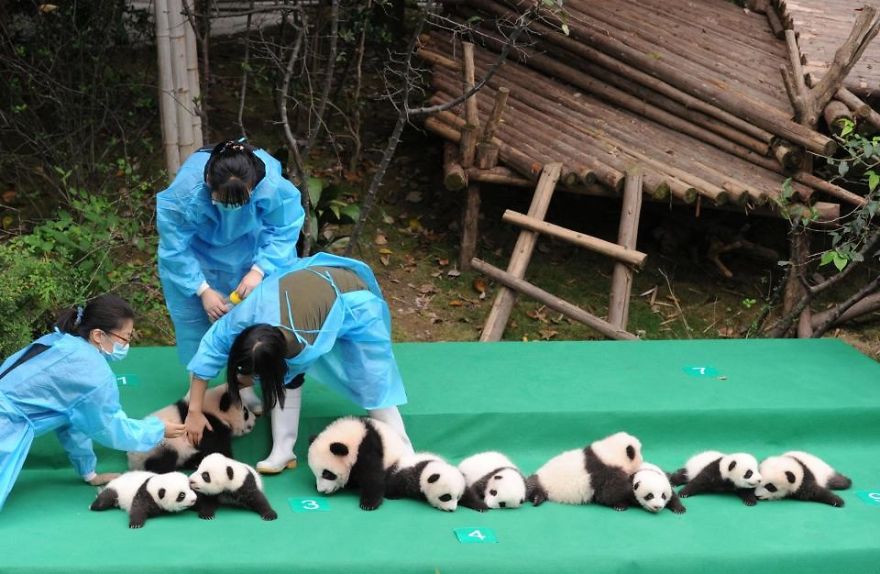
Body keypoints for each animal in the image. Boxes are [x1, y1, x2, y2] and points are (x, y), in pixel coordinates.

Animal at [127, 383, 257, 473]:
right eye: (245, 412)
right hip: (160, 446)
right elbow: (217, 447)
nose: (255, 420)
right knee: (164, 462)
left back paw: (195, 462)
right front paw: (229, 461)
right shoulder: (208, 425)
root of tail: (131, 460)